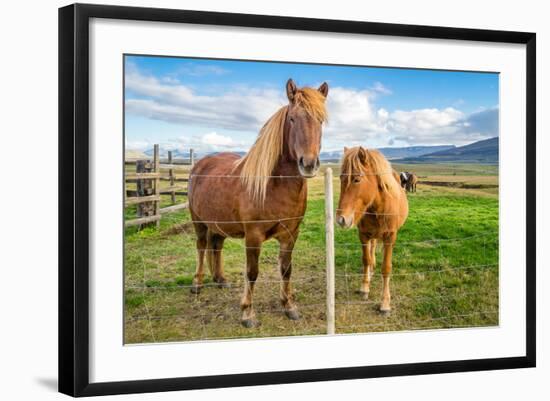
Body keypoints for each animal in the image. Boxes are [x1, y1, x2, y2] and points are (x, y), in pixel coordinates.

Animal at [188, 79, 330, 326]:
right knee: (201, 246)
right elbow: (252, 272)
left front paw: (289, 306)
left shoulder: (291, 234)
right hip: (199, 222)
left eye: (320, 120)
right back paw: (197, 283)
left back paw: (220, 279)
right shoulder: (253, 236)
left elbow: (286, 269)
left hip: (218, 223)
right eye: (292, 119)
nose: (309, 164)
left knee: (216, 245)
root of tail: (201, 163)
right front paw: (247, 313)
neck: (273, 186)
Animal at [336, 147, 410, 312]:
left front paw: (385, 302)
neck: (379, 207)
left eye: (357, 179)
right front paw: (364, 288)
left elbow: (386, 268)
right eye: (341, 178)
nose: (341, 219)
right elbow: (366, 259)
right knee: (371, 250)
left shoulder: (390, 237)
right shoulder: (363, 235)